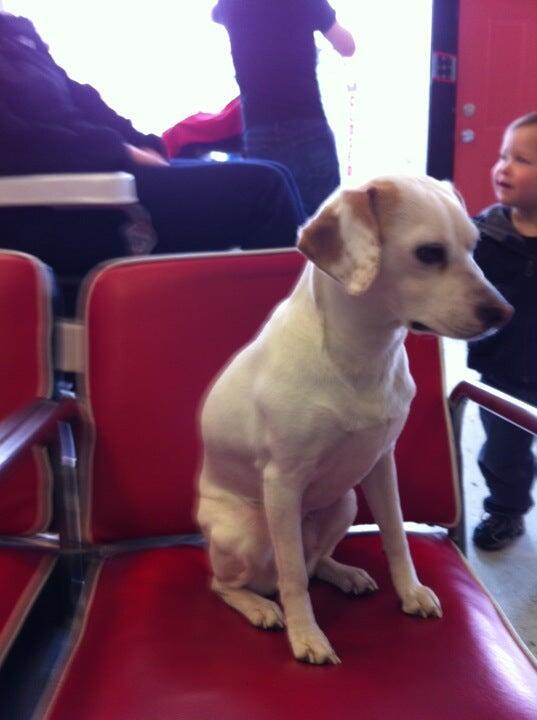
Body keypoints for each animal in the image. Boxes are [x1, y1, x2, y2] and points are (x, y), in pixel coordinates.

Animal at [196, 175, 512, 665]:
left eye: (473, 247)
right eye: (429, 253)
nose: (504, 314)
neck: (365, 355)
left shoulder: (381, 462)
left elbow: (397, 536)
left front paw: (411, 592)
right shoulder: (282, 482)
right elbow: (292, 577)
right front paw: (307, 636)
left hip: (343, 502)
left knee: (313, 561)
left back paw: (343, 572)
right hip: (247, 531)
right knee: (230, 582)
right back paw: (258, 605)